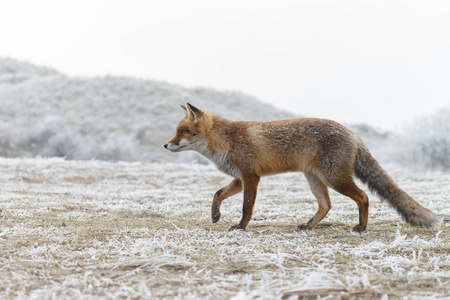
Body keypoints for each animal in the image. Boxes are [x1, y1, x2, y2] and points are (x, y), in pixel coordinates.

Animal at [163, 103, 442, 232]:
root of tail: (352, 133)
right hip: (315, 180)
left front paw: (241, 227)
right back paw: (308, 226)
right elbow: (217, 194)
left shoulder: (251, 177)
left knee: (363, 197)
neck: (227, 141)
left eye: (182, 132)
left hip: (335, 178)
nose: (165, 145)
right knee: (326, 206)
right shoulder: (240, 178)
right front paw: (215, 215)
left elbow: (246, 208)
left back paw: (361, 227)